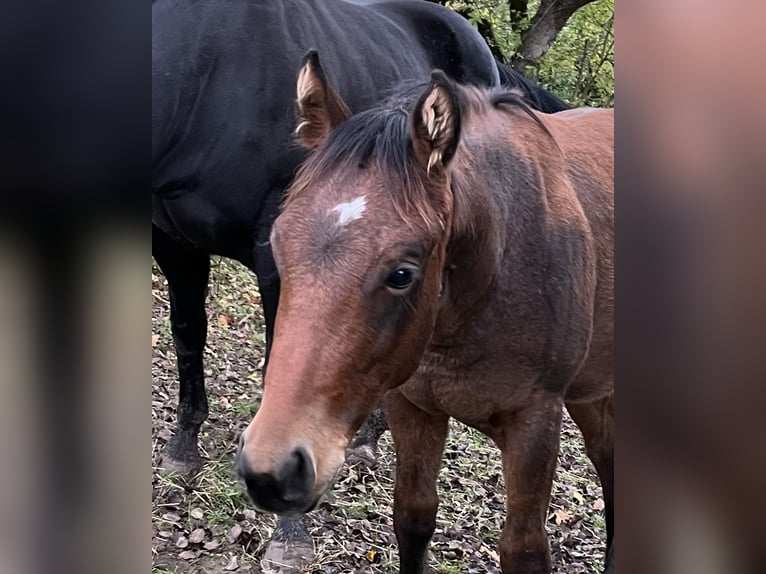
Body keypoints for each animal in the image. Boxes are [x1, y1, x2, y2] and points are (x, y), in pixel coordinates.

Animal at [237, 55, 616, 574]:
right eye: (278, 245)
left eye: (402, 274)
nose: (272, 469)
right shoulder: (411, 406)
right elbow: (414, 517)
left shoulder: (535, 424)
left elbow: (523, 548)